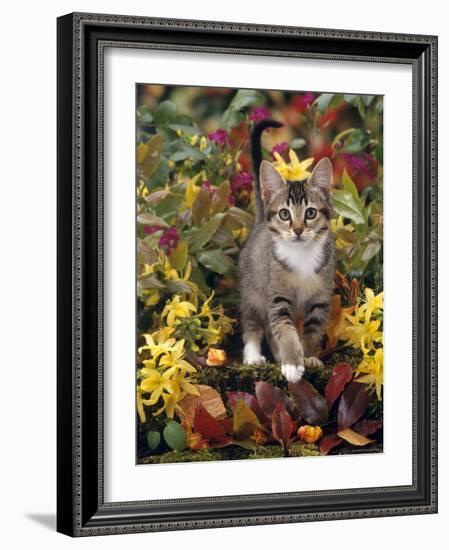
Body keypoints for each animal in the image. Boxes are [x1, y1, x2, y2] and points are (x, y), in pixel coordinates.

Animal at [240, 122, 334, 384]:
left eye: (311, 213)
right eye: (284, 214)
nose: (299, 230)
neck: (302, 256)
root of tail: (259, 223)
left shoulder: (321, 299)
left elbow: (312, 330)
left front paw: (308, 357)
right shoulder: (276, 296)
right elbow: (284, 328)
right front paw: (292, 363)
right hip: (252, 289)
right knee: (253, 324)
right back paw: (254, 355)